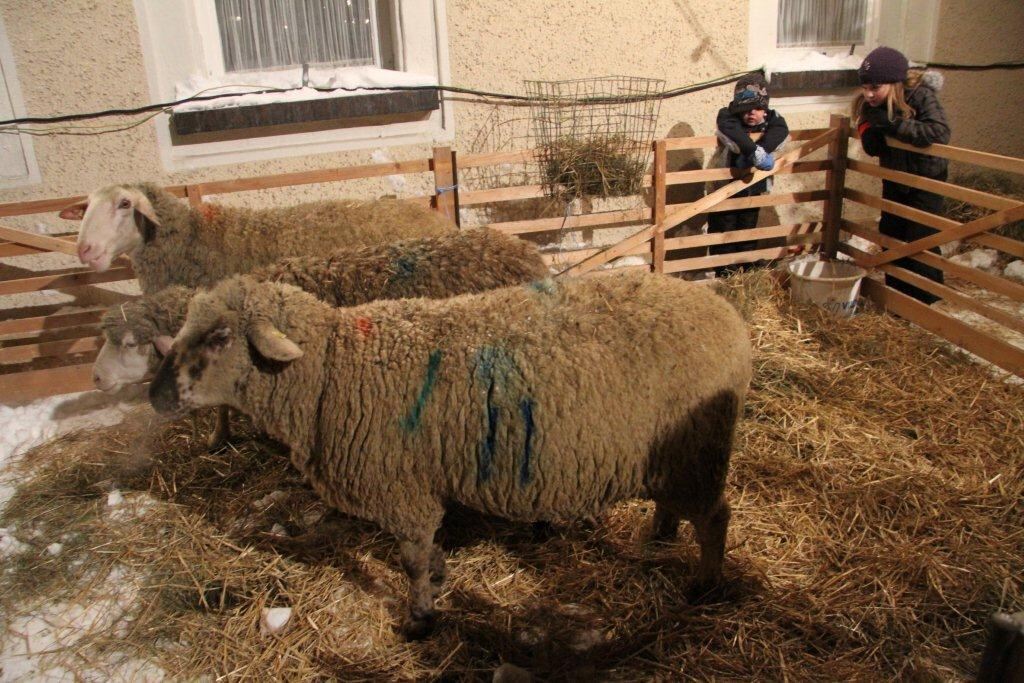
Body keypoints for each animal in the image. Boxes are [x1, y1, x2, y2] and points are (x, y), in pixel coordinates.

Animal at [146, 270, 753, 643]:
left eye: (220, 336)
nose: (154, 396)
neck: (332, 372)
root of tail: (726, 314)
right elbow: (427, 556)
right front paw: (437, 583)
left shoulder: (402, 490)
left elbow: (412, 560)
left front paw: (419, 619)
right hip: (674, 455)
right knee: (678, 506)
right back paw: (660, 534)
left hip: (697, 453)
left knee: (715, 518)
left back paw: (704, 584)